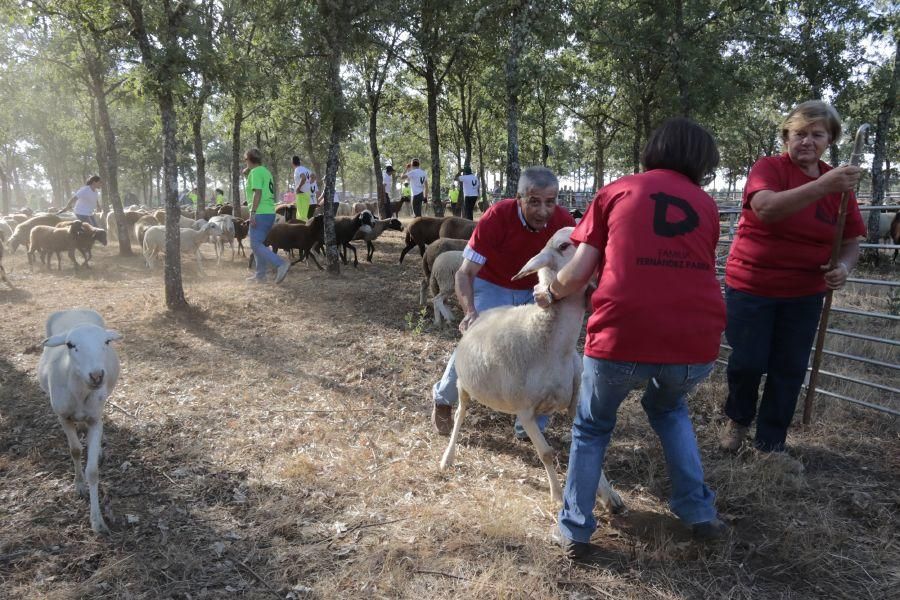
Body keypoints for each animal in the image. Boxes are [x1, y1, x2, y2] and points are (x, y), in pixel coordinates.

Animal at [37, 310, 122, 536]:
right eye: (70, 344)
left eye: (106, 341)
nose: (97, 375)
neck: (80, 393)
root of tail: (74, 309)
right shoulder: (63, 417)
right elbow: (75, 450)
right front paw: (79, 485)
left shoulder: (95, 419)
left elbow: (92, 471)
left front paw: (97, 521)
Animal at [440, 227, 624, 508]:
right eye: (564, 246)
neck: (551, 344)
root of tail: (482, 314)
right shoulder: (524, 410)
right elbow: (546, 452)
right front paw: (557, 494)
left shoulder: (574, 403)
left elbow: (587, 446)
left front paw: (608, 494)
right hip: (464, 385)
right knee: (460, 413)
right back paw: (447, 457)